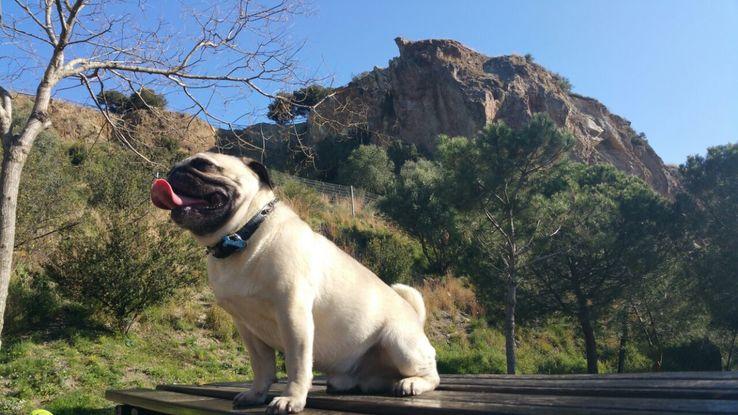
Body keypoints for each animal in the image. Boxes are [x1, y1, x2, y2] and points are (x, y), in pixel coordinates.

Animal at [150, 154, 436, 415]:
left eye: (203, 164)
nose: (173, 171)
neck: (243, 236)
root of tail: (415, 317)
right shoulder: (247, 327)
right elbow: (261, 367)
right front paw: (256, 394)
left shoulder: (293, 315)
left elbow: (297, 365)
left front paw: (292, 399)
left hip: (399, 342)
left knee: (431, 374)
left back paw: (411, 383)